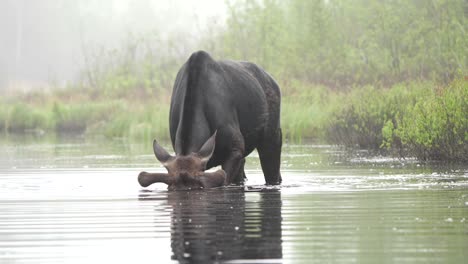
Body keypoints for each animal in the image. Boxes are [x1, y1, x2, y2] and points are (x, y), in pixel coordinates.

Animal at [136, 50, 282, 190]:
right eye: (171, 189)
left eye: (198, 187)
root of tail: (274, 82)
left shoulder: (236, 148)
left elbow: (224, 181)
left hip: (272, 137)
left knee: (273, 172)